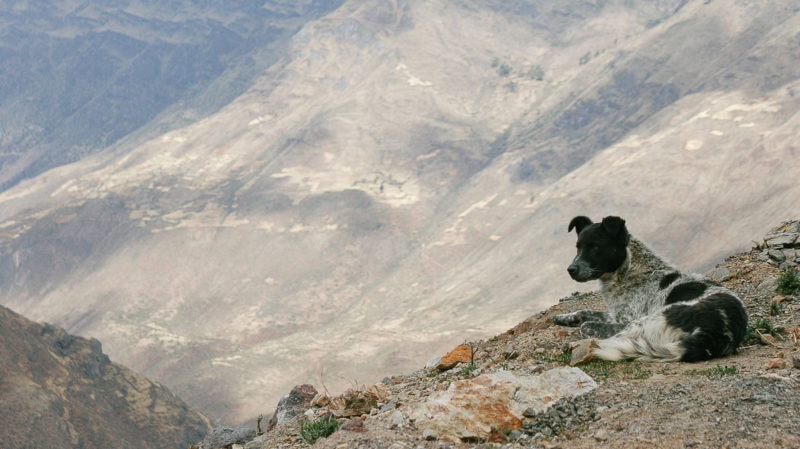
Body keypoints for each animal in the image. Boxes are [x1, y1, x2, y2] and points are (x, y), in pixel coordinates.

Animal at [552, 214, 748, 364]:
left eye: (595, 247)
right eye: (578, 247)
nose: (570, 270)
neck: (629, 270)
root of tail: (715, 333)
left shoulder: (626, 319)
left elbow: (586, 324)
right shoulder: (616, 314)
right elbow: (584, 311)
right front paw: (564, 317)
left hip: (645, 321)